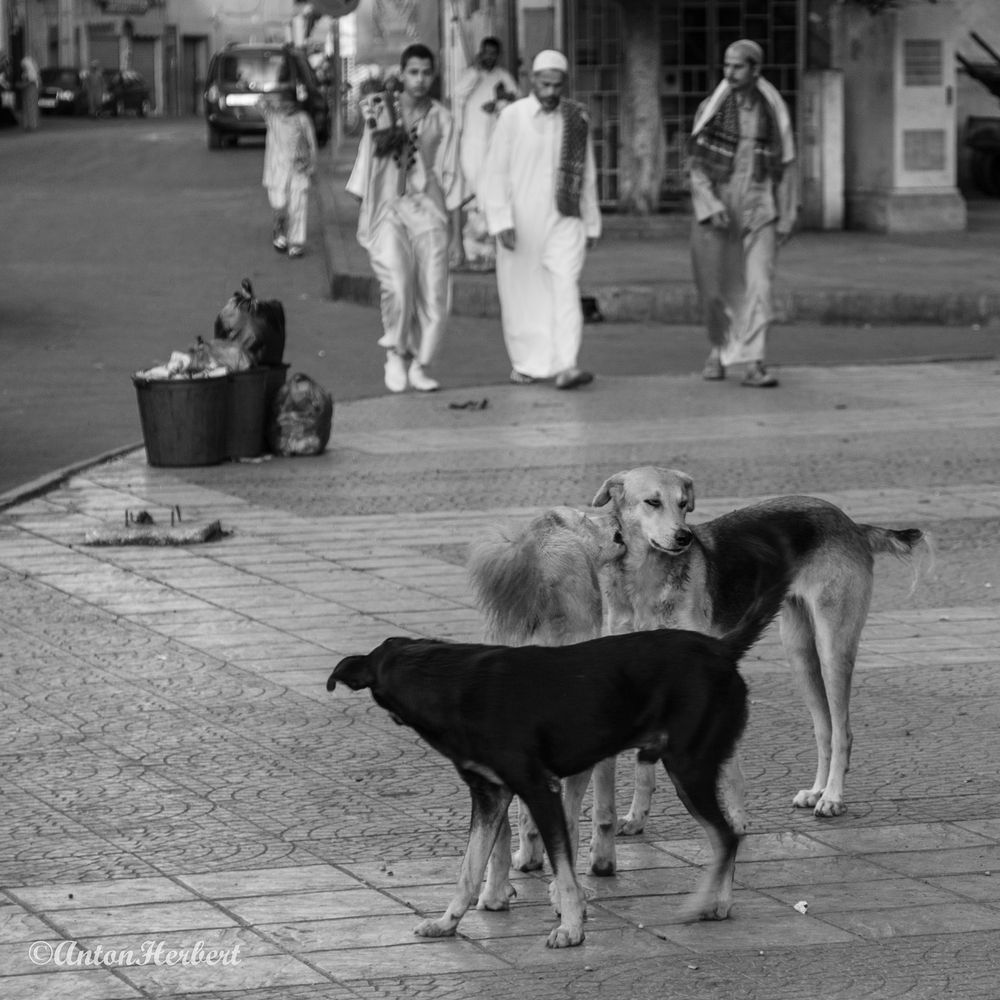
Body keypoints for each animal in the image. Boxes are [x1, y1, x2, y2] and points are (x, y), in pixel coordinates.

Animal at [328, 592, 780, 944]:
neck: (446, 684)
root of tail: (720, 648)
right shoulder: (491, 794)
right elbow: (469, 869)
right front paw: (447, 923)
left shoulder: (538, 788)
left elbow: (563, 869)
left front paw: (572, 927)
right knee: (727, 837)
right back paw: (720, 901)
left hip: (688, 767)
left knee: (726, 838)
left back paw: (711, 901)